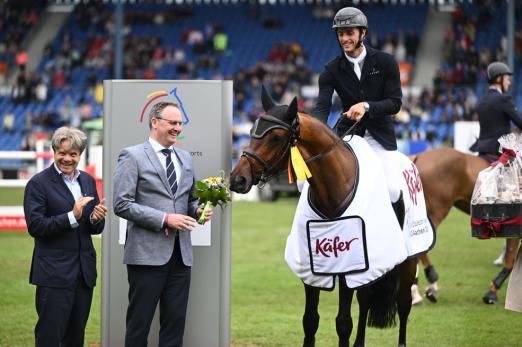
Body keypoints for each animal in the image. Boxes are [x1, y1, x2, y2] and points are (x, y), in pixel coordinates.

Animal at [229, 88, 414, 346]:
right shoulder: (311, 267)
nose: (238, 179)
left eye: (275, 137)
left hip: (409, 260)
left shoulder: (351, 264)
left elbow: (343, 323)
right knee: (366, 298)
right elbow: (310, 320)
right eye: (250, 133)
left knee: (403, 303)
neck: (332, 191)